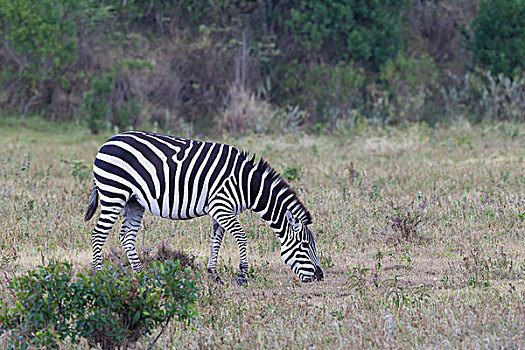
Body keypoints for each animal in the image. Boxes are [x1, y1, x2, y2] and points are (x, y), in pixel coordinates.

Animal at [83, 131, 322, 284]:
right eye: (304, 246)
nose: (320, 276)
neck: (245, 185)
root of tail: (106, 143)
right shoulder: (222, 207)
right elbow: (241, 236)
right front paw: (243, 274)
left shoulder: (222, 210)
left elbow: (216, 240)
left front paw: (213, 275)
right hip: (114, 193)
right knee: (98, 234)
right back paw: (98, 276)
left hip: (133, 201)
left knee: (126, 237)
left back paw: (142, 276)